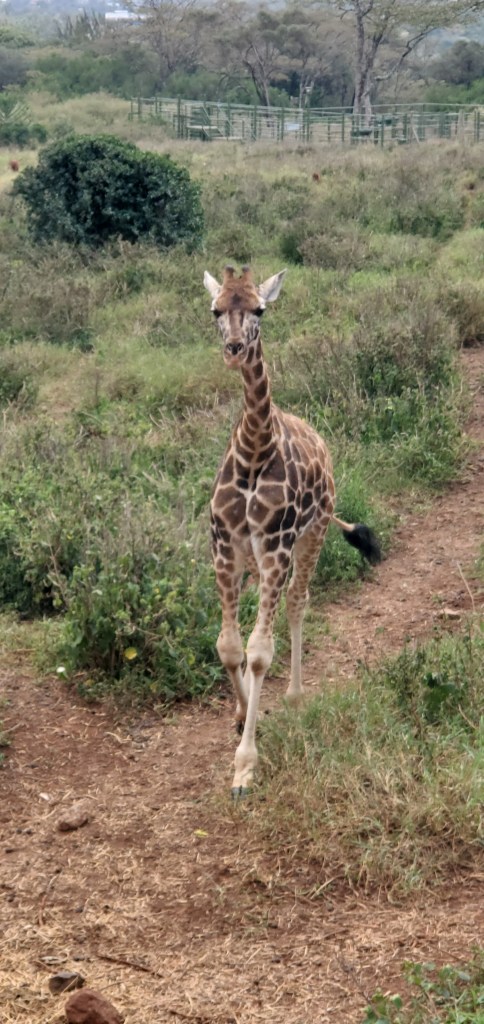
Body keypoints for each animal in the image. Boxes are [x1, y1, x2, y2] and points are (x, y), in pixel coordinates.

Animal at [204, 265, 380, 798]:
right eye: (215, 309)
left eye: (260, 309)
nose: (234, 349)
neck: (253, 450)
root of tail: (321, 440)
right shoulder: (225, 549)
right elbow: (229, 646)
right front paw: (243, 714)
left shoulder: (276, 548)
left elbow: (260, 652)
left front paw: (245, 765)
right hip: (257, 561)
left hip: (313, 533)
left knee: (299, 604)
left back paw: (298, 698)